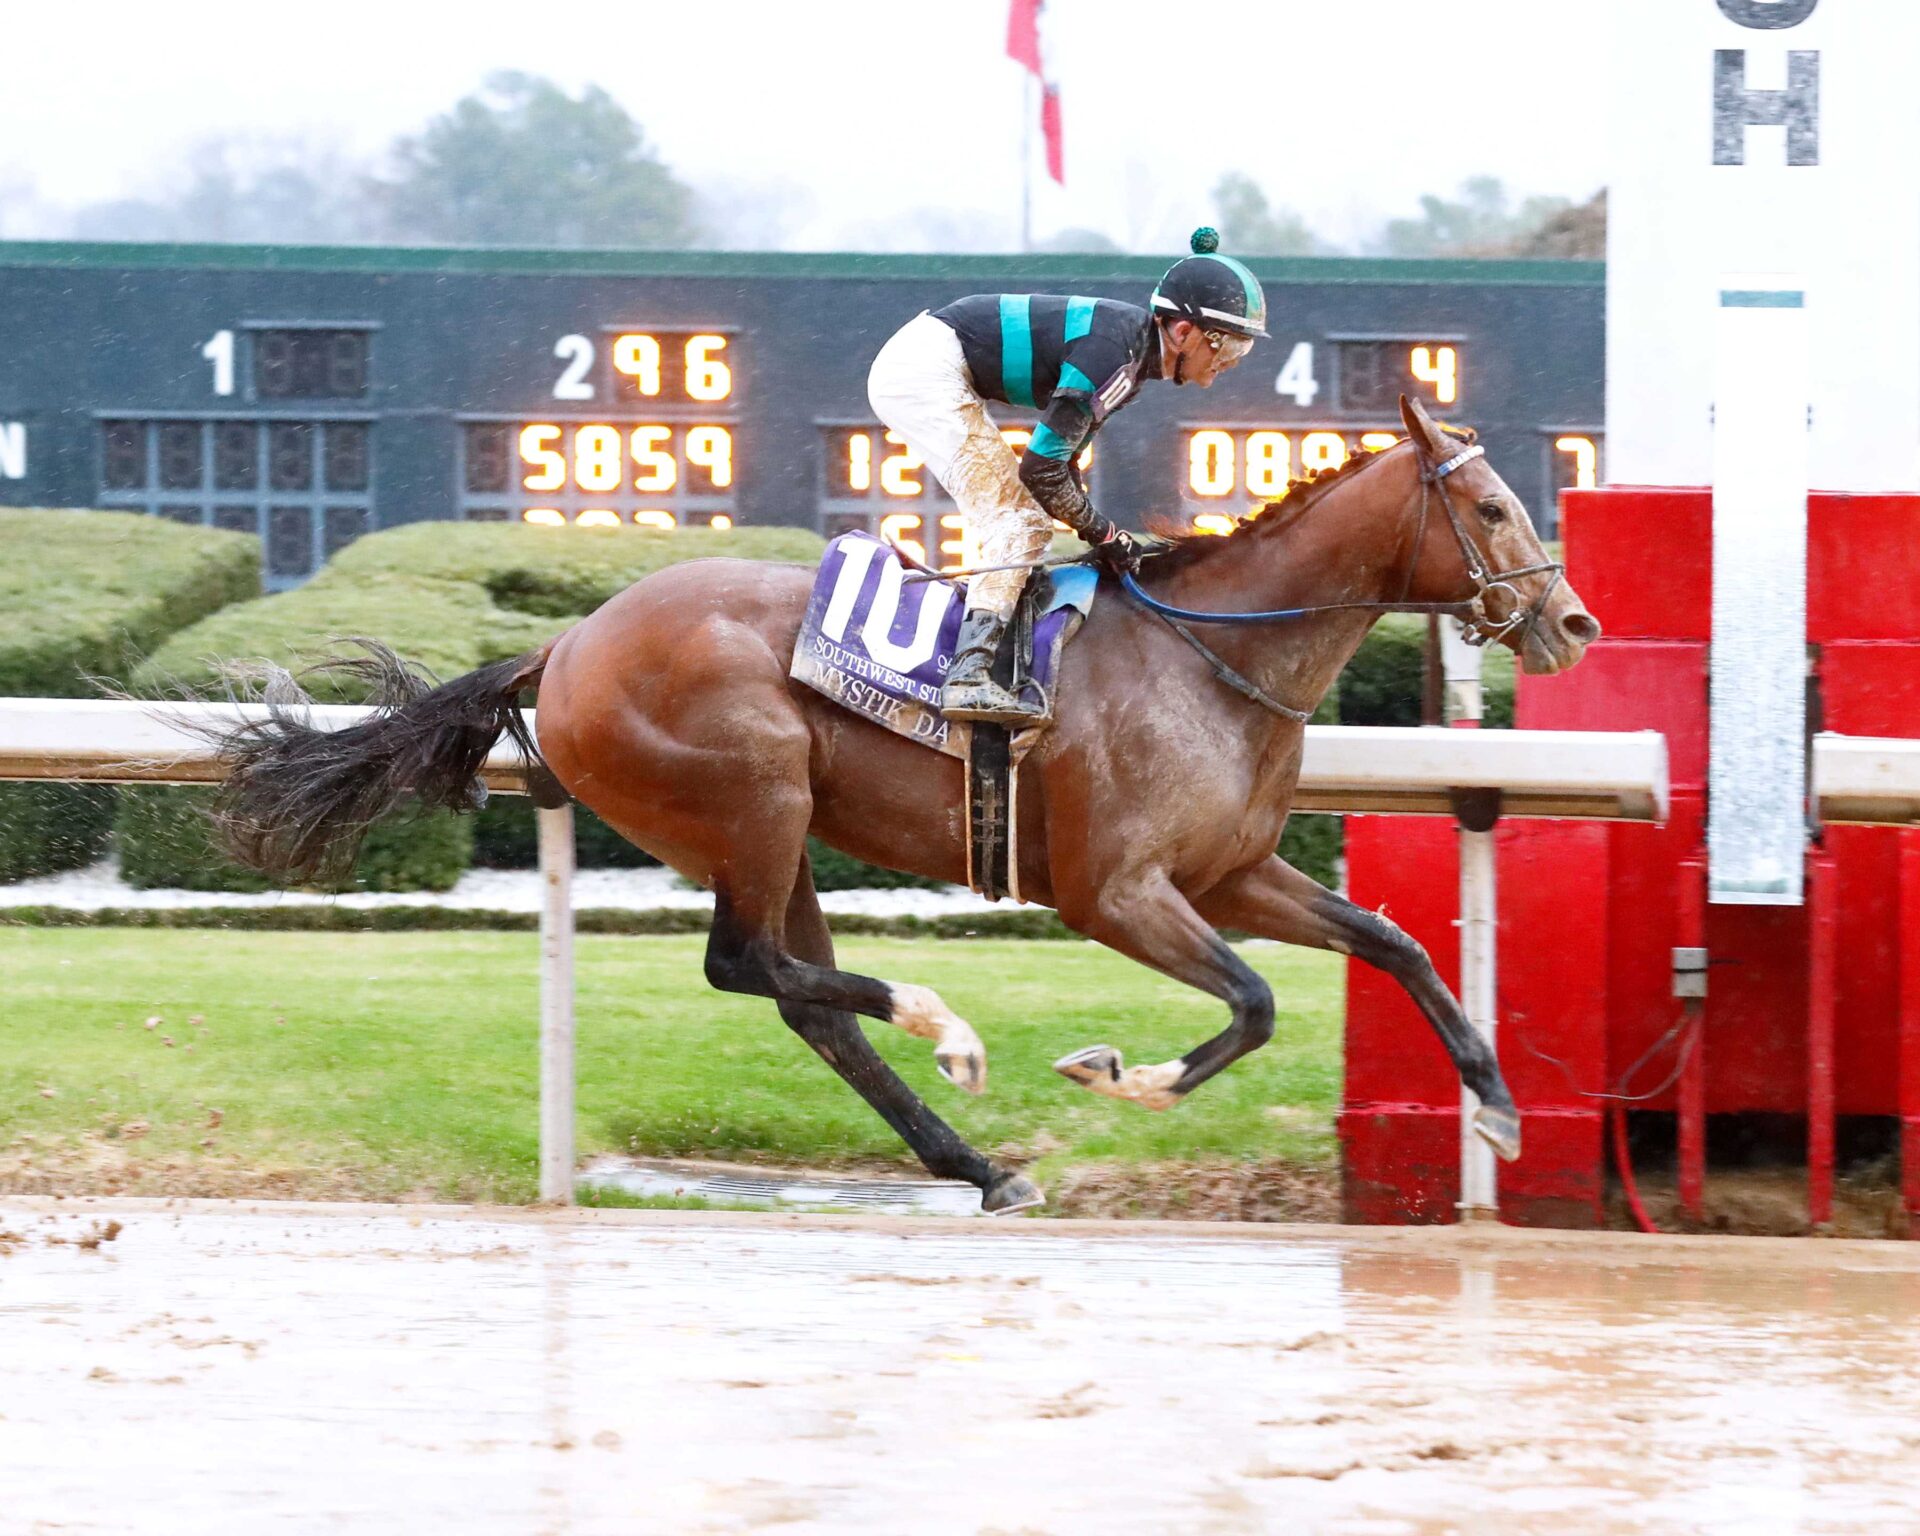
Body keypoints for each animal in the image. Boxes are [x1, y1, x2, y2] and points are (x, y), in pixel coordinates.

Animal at [201, 396, 1599, 1214]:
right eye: (1489, 506)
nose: (1573, 622)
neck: (1212, 658)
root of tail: (565, 645)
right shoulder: (1117, 893)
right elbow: (1253, 1003)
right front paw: (1123, 1074)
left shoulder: (1231, 872)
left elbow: (1396, 944)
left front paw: (1499, 1108)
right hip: (752, 796)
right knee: (745, 965)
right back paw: (949, 1031)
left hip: (779, 832)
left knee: (802, 1000)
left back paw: (974, 1163)